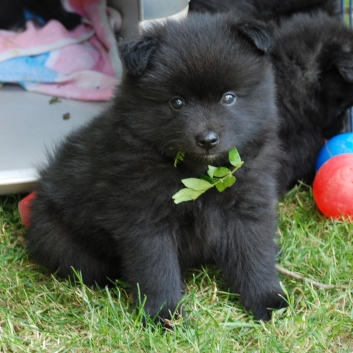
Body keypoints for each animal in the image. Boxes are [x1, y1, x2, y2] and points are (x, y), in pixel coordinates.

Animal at [26, 13, 286, 322]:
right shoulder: (145, 219)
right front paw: (164, 313)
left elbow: (254, 253)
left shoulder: (248, 204)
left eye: (229, 97)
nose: (207, 139)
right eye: (177, 102)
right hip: (57, 237)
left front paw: (268, 299)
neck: (197, 174)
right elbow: (156, 268)